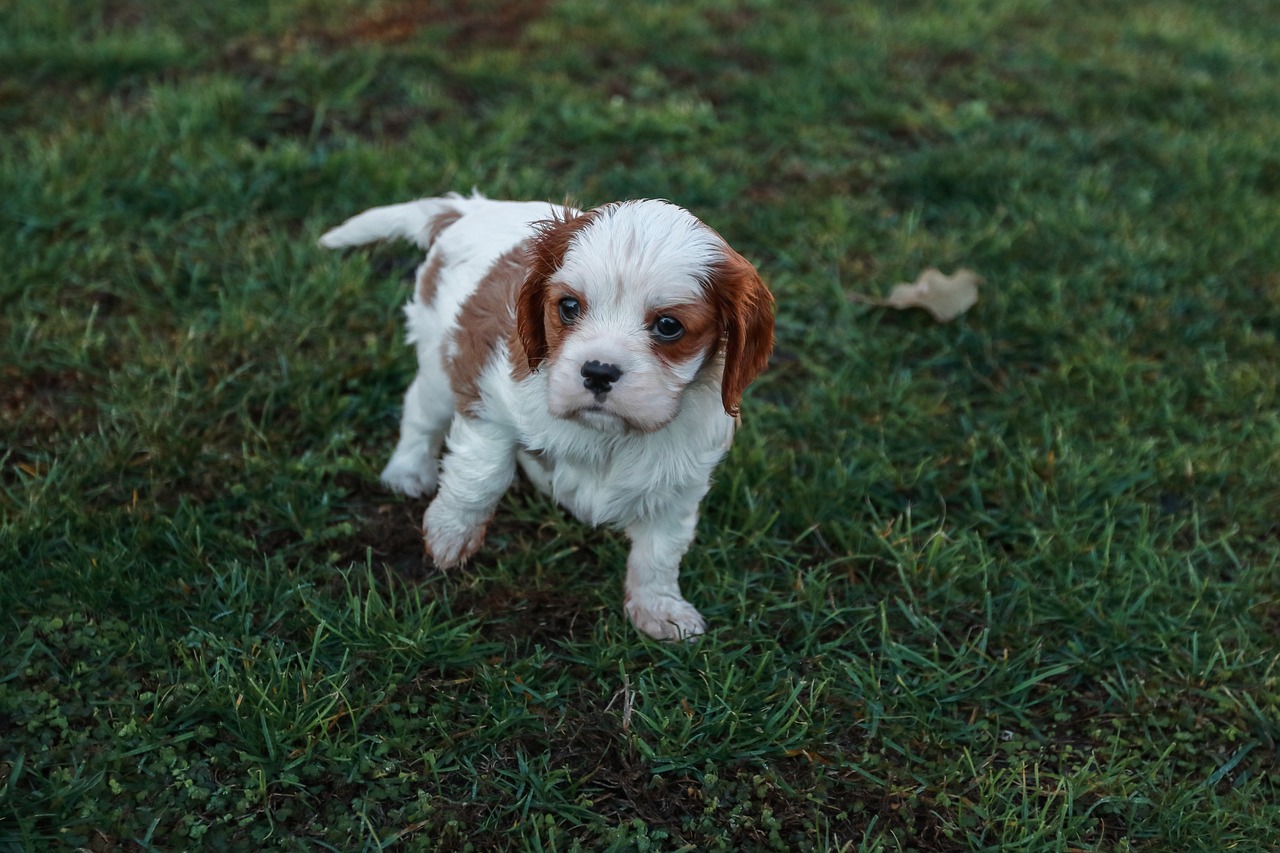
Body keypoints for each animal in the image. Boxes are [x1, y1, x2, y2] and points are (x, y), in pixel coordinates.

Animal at [318, 189, 768, 635]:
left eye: (669, 326)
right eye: (568, 307)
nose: (598, 371)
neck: (608, 433)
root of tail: (473, 207)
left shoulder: (680, 481)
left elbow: (660, 550)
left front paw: (659, 609)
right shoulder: (492, 399)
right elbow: (481, 476)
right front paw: (450, 533)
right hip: (438, 362)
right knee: (420, 414)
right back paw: (408, 472)